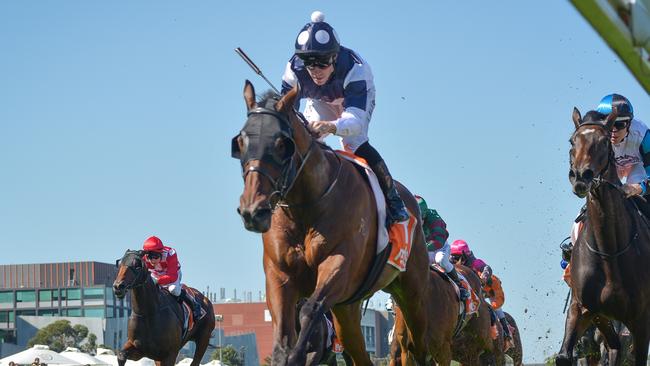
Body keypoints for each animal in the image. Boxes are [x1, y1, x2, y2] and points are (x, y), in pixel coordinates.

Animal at [233, 81, 436, 366]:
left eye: (282, 144)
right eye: (240, 142)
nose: (253, 211)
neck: (307, 206)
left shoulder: (339, 264)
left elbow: (311, 309)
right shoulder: (279, 275)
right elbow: (282, 339)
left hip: (412, 291)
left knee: (419, 346)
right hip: (347, 308)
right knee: (359, 354)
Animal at [556, 107, 648, 364]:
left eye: (604, 141)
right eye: (572, 140)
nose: (581, 177)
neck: (609, 252)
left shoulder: (641, 320)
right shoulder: (584, 309)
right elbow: (565, 355)